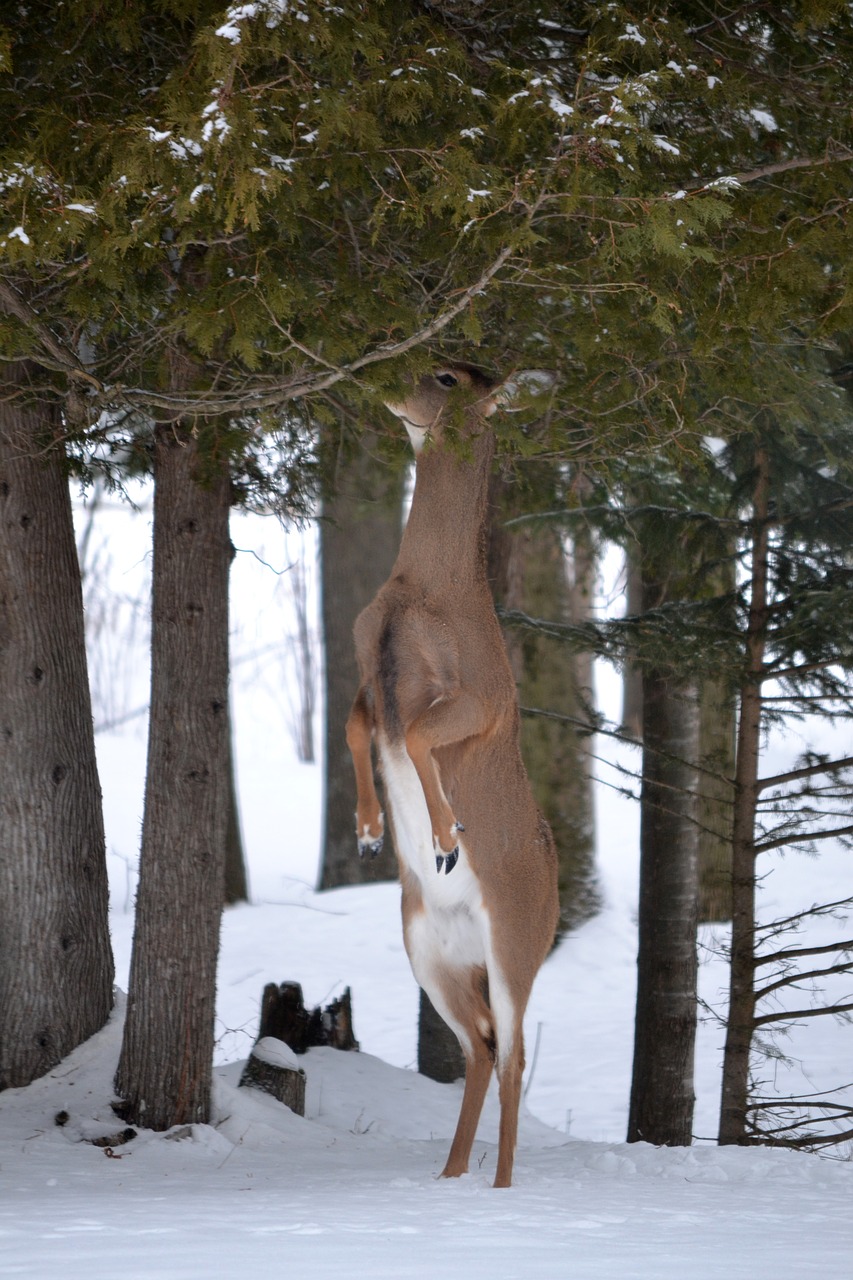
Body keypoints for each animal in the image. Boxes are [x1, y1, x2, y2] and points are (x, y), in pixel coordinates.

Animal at [343, 363, 558, 1187]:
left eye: (446, 373)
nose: (374, 372)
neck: (421, 588)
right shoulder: (367, 668)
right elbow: (360, 729)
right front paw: (371, 830)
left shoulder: (483, 696)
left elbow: (423, 738)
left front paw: (442, 836)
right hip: (427, 952)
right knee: (481, 1047)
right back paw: (450, 1176)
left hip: (516, 943)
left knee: (516, 1052)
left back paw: (498, 1187)